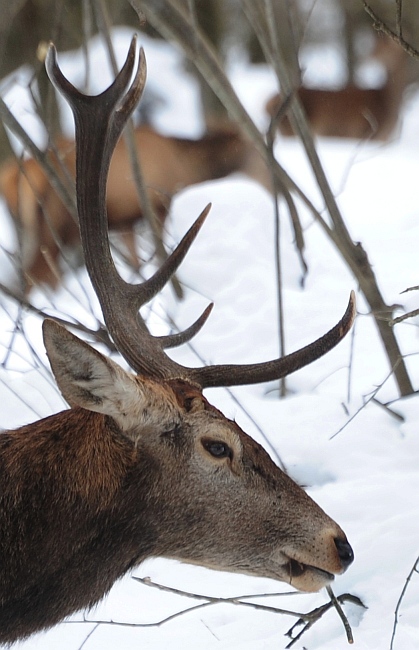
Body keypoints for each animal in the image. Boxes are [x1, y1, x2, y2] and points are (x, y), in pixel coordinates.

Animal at [268, 34, 408, 139]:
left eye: (383, 47)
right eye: (374, 46)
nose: (367, 57)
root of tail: (267, 105)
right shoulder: (364, 132)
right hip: (292, 129)